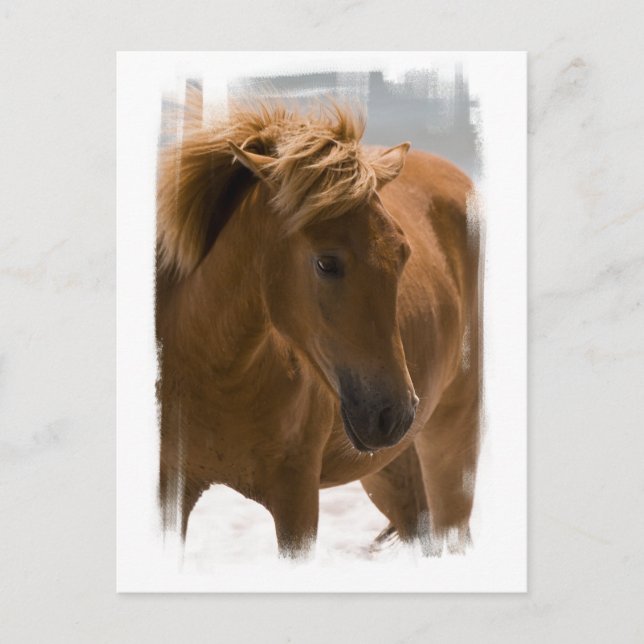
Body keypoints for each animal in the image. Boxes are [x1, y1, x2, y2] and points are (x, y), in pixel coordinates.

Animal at [155, 95, 482, 558]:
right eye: (326, 263)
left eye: (403, 253)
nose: (395, 415)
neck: (211, 371)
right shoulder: (170, 490)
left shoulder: (296, 500)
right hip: (389, 474)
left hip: (450, 446)